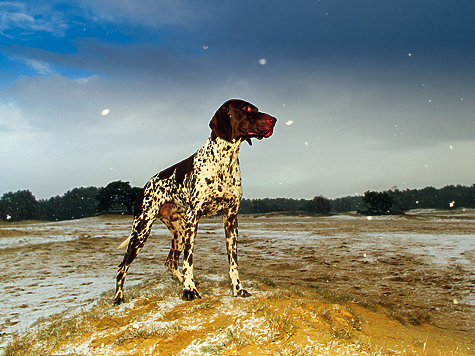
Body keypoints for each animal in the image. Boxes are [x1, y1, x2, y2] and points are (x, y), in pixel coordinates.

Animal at [114, 99, 278, 304]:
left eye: (256, 109)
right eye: (246, 108)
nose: (274, 120)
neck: (225, 161)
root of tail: (145, 186)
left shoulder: (231, 218)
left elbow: (233, 260)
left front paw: (237, 289)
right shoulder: (194, 217)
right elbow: (189, 259)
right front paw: (189, 290)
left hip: (178, 231)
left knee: (170, 262)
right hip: (142, 230)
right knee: (122, 266)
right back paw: (119, 297)